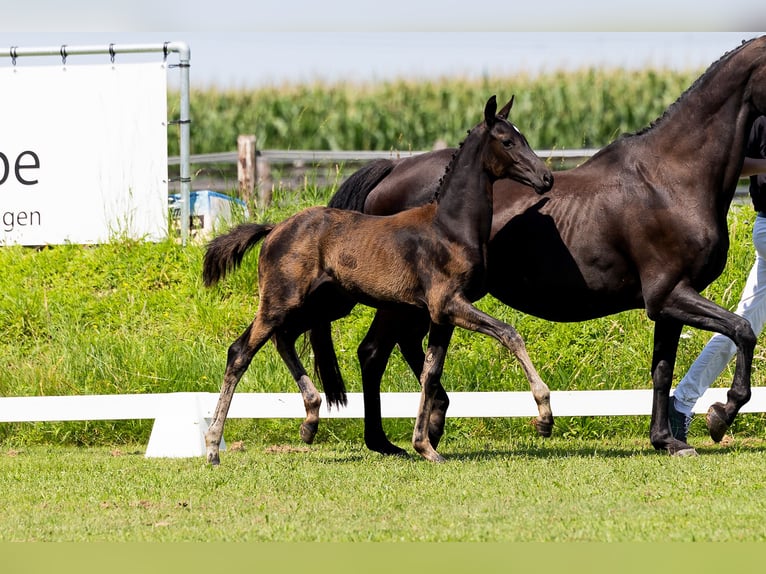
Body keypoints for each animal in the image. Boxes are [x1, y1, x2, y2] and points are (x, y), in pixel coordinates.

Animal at [202, 94, 552, 464]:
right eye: (508, 141)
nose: (546, 178)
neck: (450, 228)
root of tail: (274, 229)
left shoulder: (441, 315)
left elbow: (430, 374)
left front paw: (425, 446)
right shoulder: (449, 304)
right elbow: (509, 334)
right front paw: (544, 416)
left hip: (327, 304)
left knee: (283, 337)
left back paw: (310, 419)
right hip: (281, 301)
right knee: (241, 352)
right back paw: (212, 447)